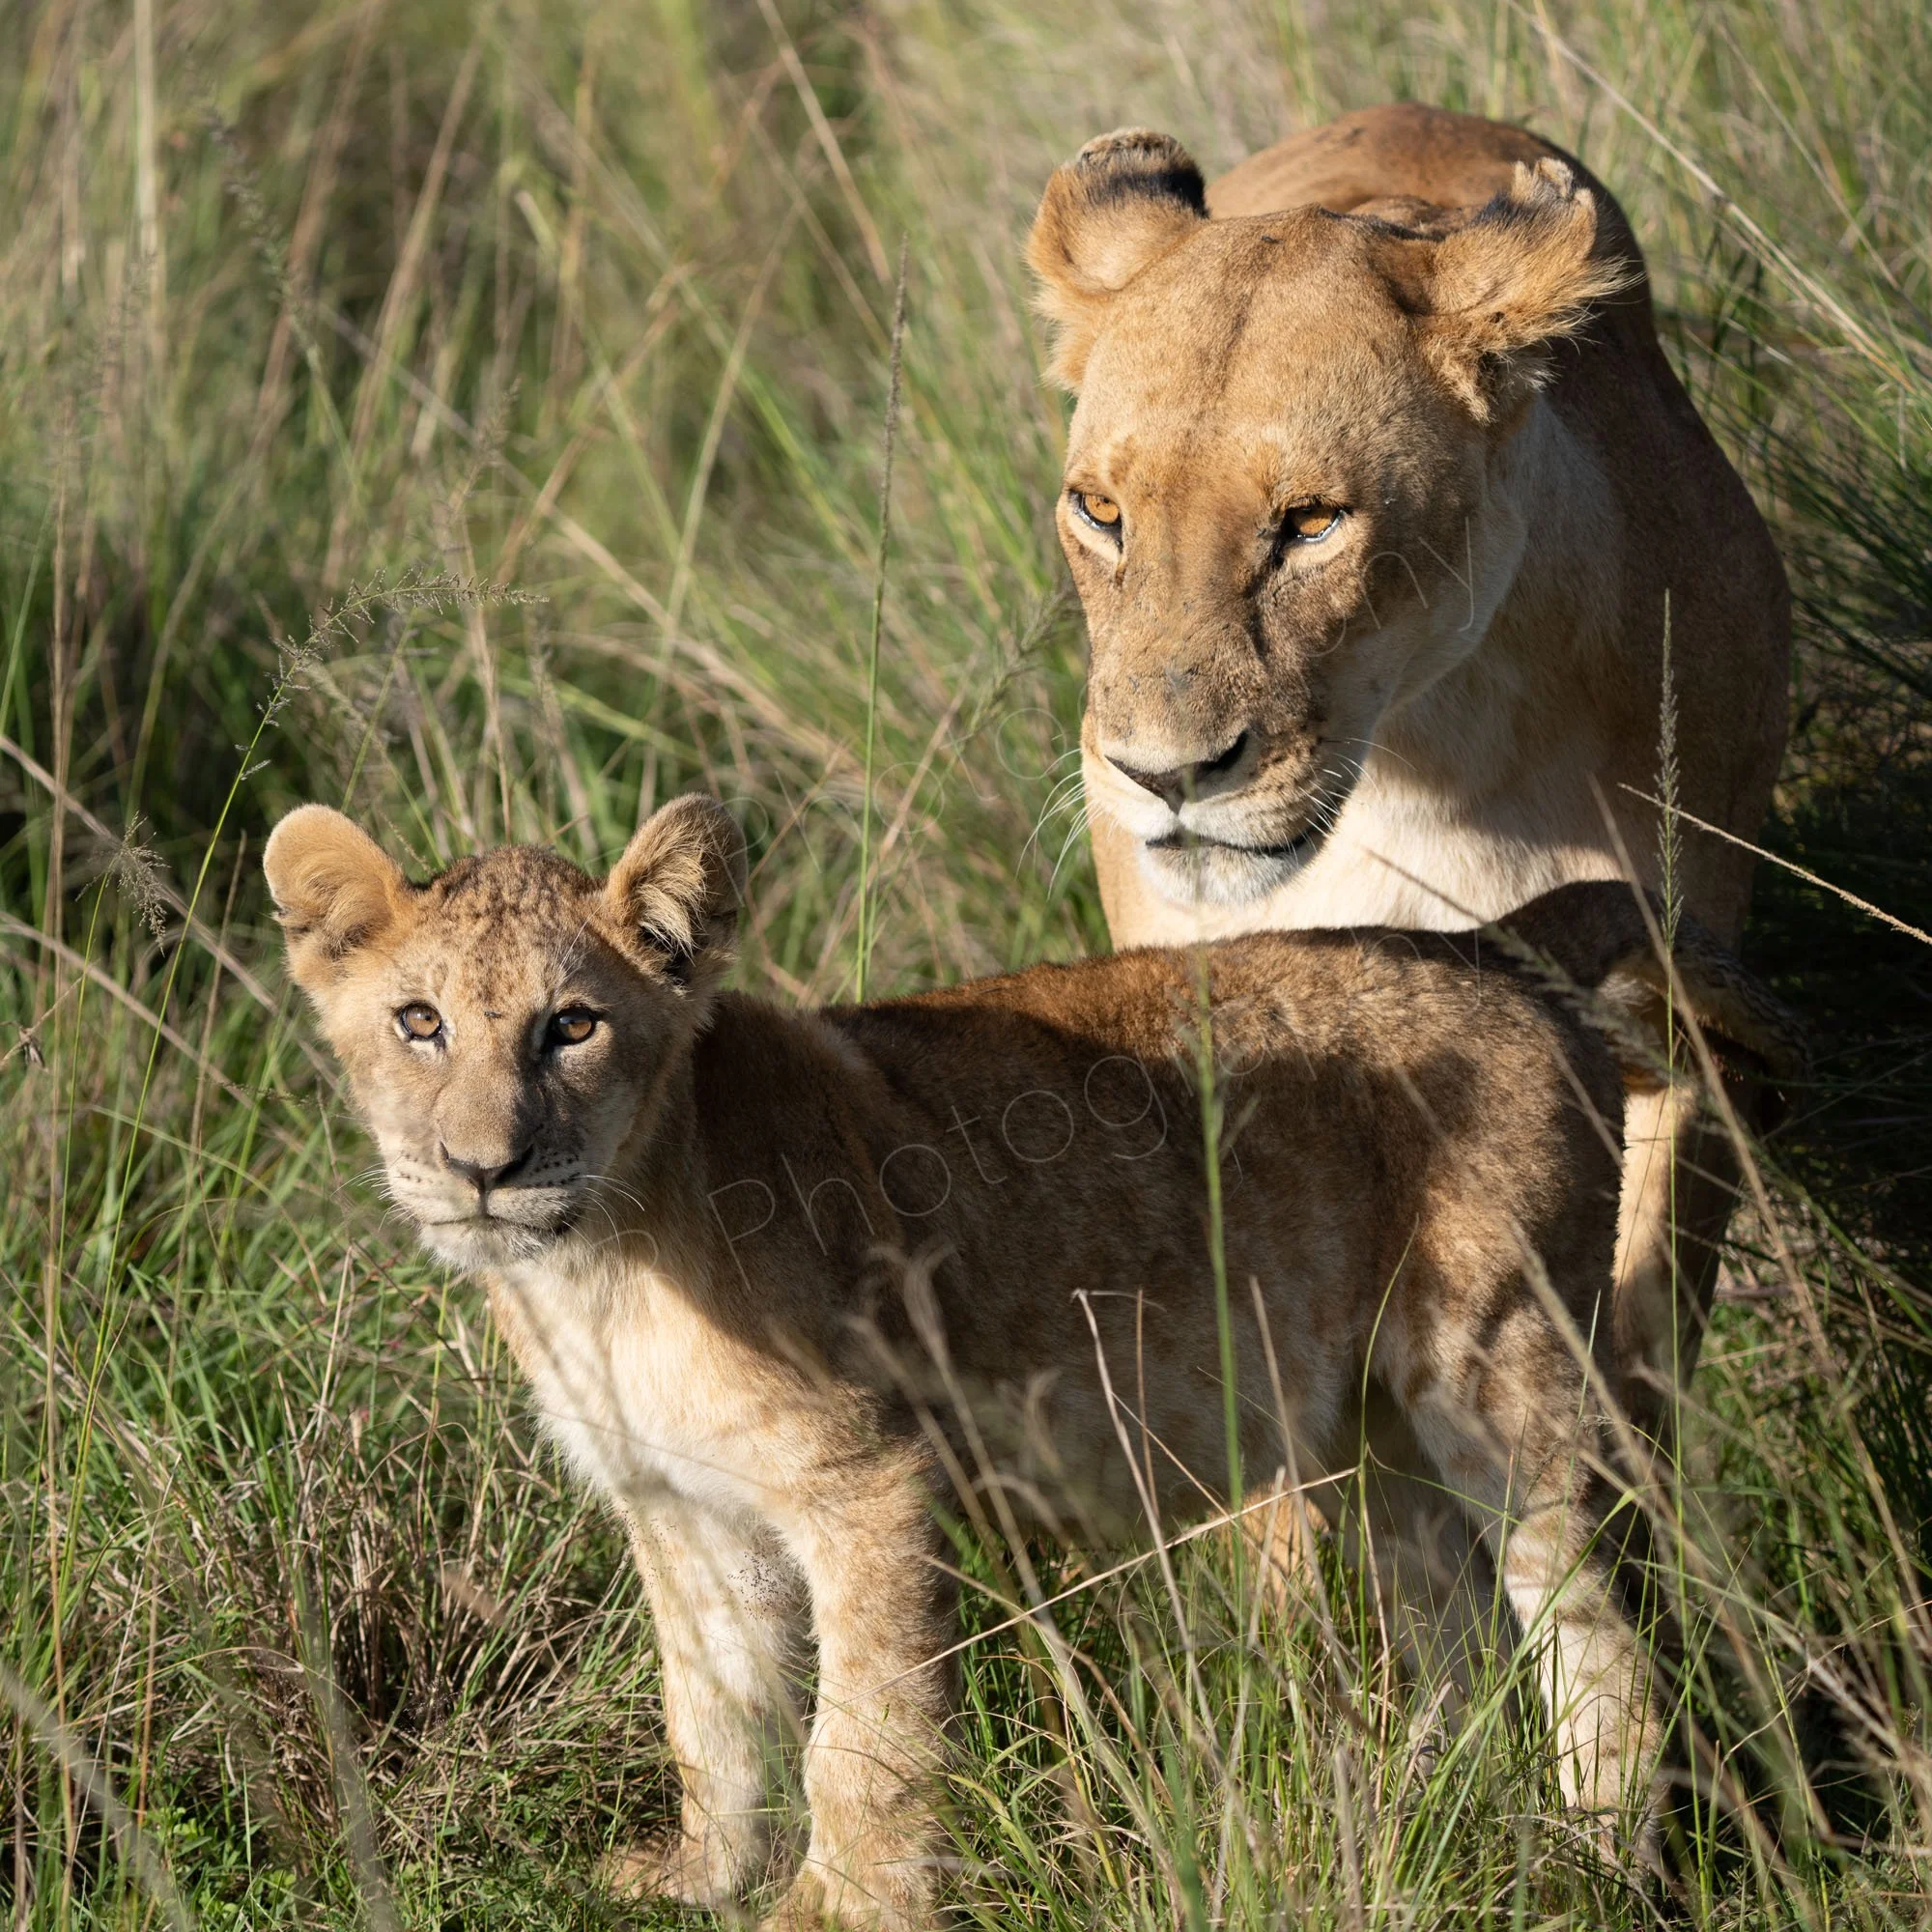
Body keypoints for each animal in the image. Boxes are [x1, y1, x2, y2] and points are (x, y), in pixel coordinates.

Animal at [266, 795, 1803, 1926]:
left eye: (572, 1025)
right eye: (418, 1023)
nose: (484, 1168)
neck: (596, 1270)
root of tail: (1491, 945)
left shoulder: (870, 1479)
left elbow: (861, 1734)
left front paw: (836, 1907)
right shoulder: (684, 1513)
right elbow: (713, 1709)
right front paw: (697, 1877)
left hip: (1502, 1376)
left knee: (1597, 1644)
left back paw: (1584, 1870)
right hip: (1372, 1437)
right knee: (1458, 1633)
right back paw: (1431, 1831)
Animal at [1026, 104, 1792, 1428]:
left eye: (1310, 523)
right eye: (1100, 512)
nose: (1162, 777)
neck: (1426, 754)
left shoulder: (1678, 994)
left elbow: (1641, 1323)